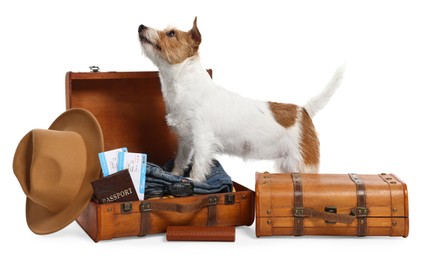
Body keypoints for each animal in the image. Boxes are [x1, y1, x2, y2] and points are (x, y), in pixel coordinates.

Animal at [138, 17, 342, 182]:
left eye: (171, 33)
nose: (141, 26)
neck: (184, 83)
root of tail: (304, 110)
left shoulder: (203, 140)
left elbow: (198, 165)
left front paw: (194, 182)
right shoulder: (185, 141)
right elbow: (181, 160)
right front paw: (174, 175)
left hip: (303, 164)